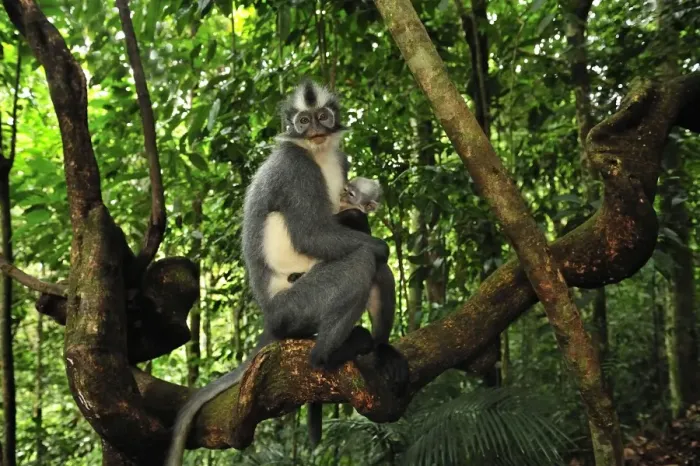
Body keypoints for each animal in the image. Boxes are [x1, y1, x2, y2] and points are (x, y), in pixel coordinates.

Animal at [166, 80, 407, 466]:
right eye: (303, 121)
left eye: (323, 116)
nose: (316, 130)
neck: (316, 153)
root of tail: (270, 320)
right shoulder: (294, 168)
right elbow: (312, 234)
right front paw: (378, 242)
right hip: (294, 308)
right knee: (361, 261)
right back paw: (326, 356)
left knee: (378, 272)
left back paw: (380, 350)